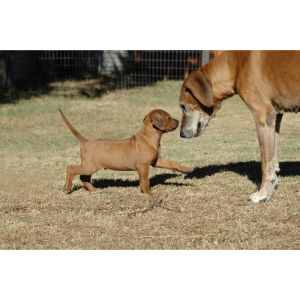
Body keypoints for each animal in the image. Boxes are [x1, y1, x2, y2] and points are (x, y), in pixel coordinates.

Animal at [59, 108, 191, 195]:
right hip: (90, 166)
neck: (148, 137)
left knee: (84, 177)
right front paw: (148, 193)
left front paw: (185, 169)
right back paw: (67, 187)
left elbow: (172, 163)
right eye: (168, 117)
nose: (178, 121)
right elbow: (145, 180)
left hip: (90, 166)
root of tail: (86, 142)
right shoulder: (143, 166)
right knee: (71, 168)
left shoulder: (156, 161)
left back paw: (93, 189)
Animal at [179, 50, 298, 203]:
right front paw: (272, 186)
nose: (181, 134)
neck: (236, 66)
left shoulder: (263, 116)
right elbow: (273, 161)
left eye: (182, 106)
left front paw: (263, 193)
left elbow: (265, 164)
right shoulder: (276, 117)